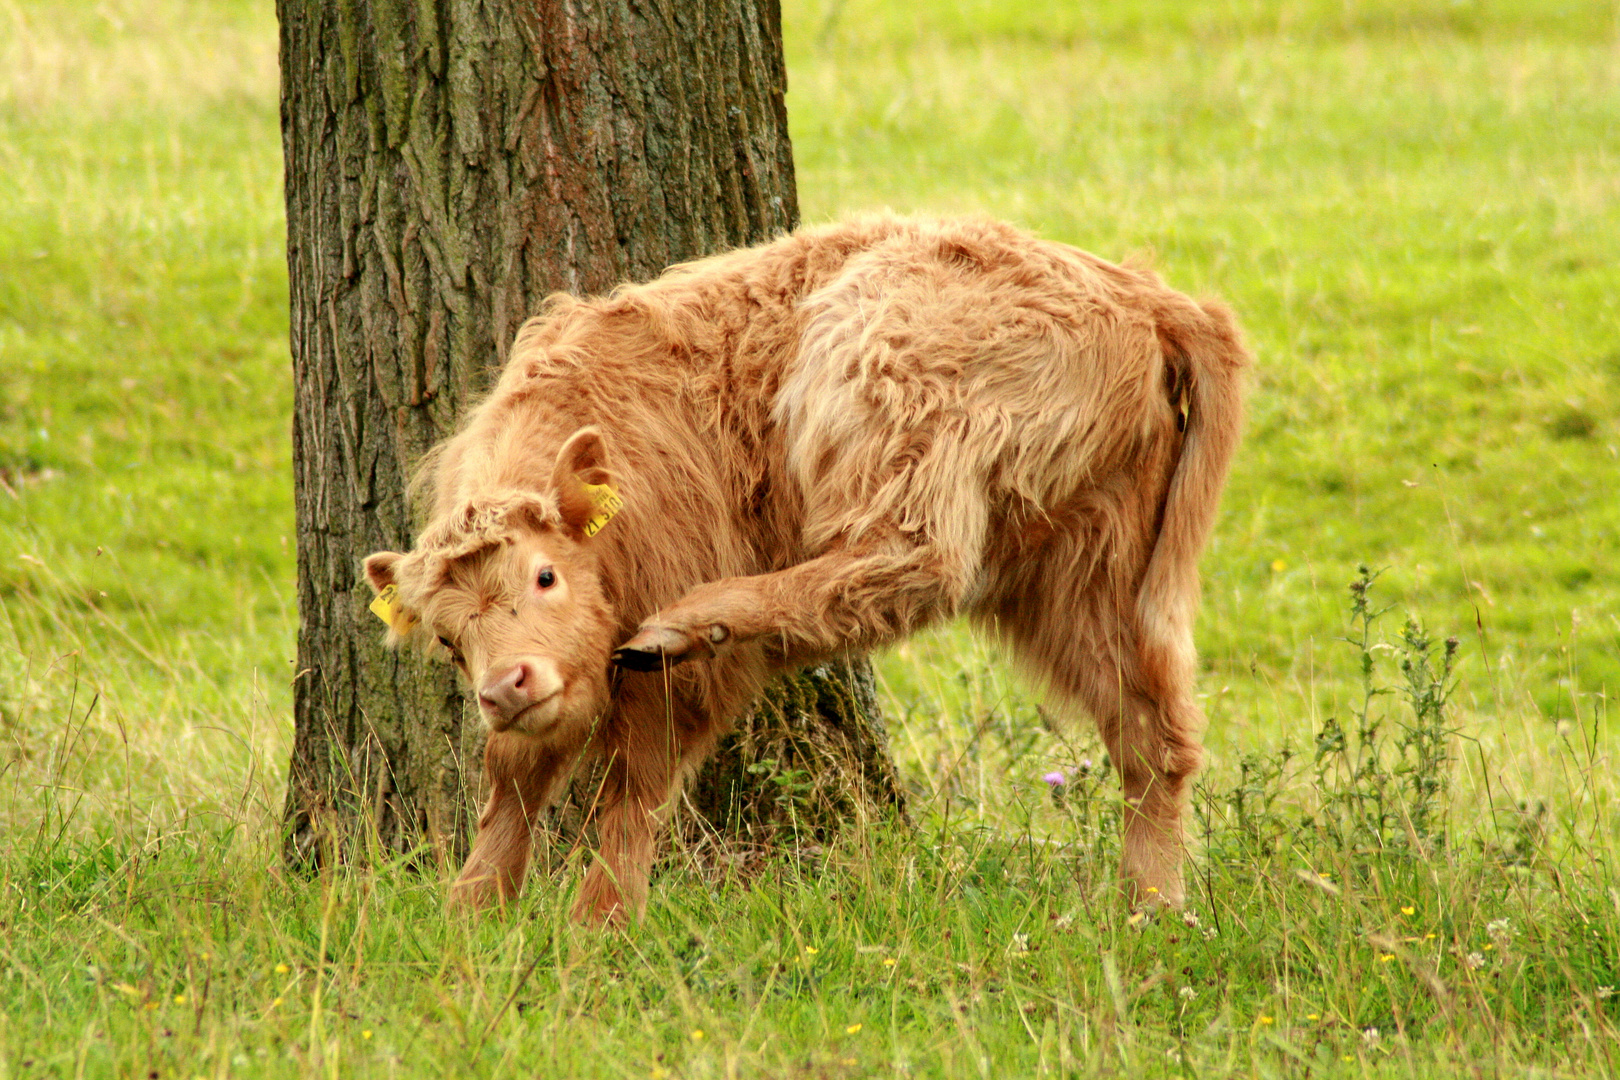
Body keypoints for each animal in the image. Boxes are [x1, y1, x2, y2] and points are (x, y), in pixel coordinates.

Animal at [367, 215, 1244, 926]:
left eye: (546, 576)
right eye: (447, 641)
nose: (505, 685)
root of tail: (1143, 293)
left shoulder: (668, 668)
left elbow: (633, 784)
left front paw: (600, 921)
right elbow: (511, 779)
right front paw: (472, 909)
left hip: (886, 387)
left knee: (908, 561)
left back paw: (694, 620)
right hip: (1085, 570)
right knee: (1151, 731)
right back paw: (1152, 907)